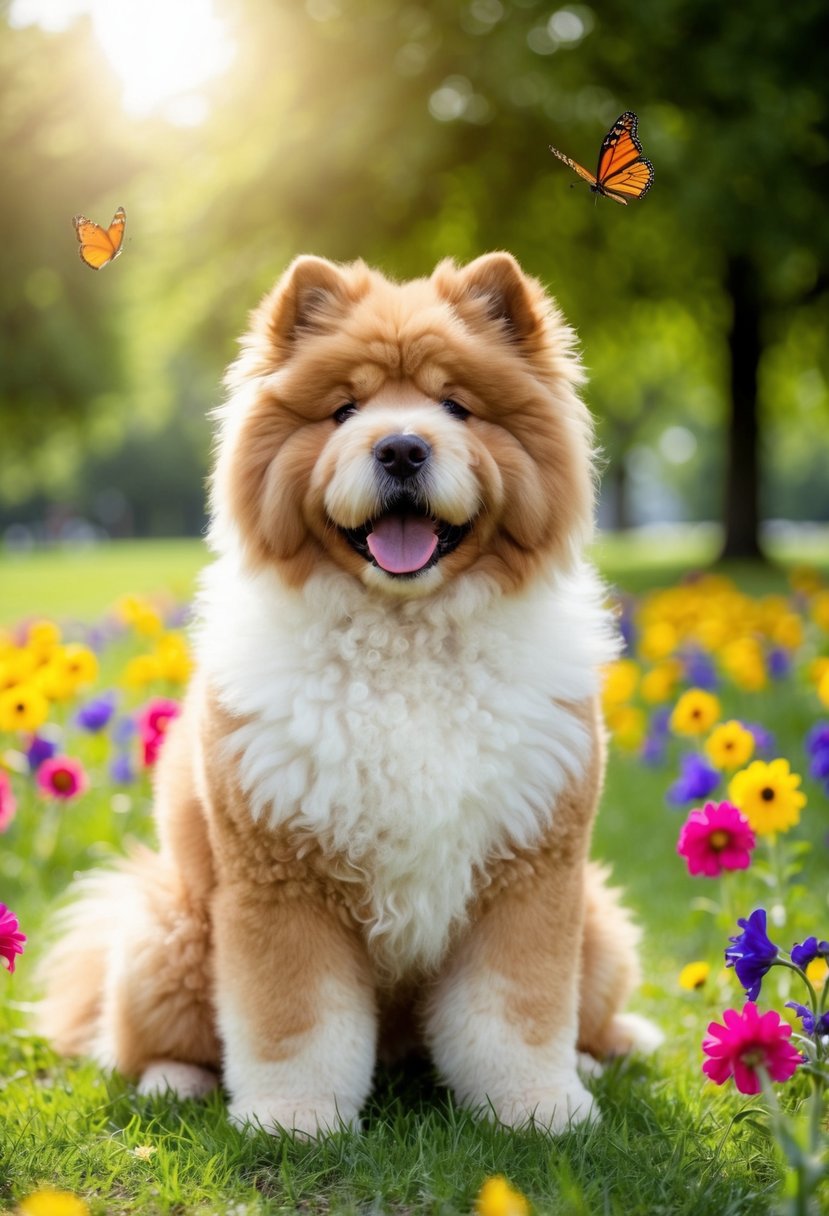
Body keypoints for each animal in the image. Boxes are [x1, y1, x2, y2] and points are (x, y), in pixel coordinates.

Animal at [38, 251, 656, 1133]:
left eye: (455, 406)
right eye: (344, 410)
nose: (400, 448)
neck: (405, 635)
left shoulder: (529, 873)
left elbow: (517, 1013)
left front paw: (538, 1110)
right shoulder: (283, 879)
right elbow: (297, 1020)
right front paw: (293, 1119)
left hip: (599, 928)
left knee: (586, 1011)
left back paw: (598, 1056)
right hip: (167, 929)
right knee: (134, 1041)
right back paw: (176, 1082)